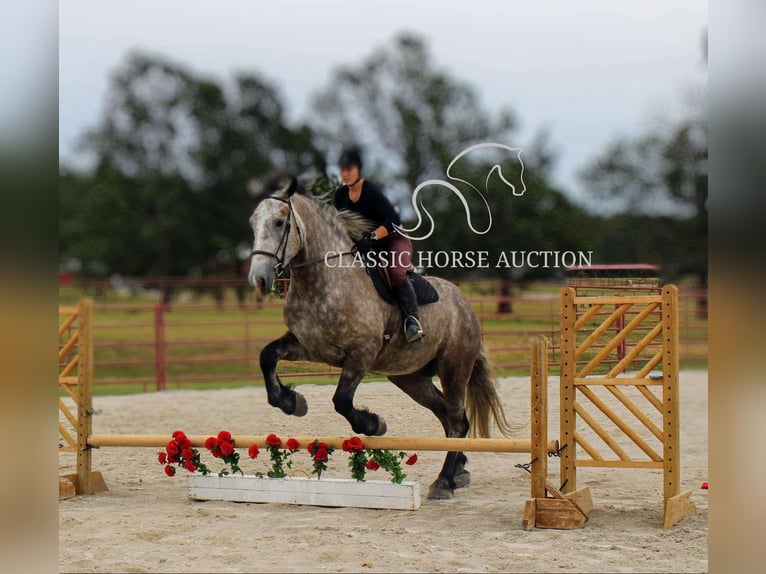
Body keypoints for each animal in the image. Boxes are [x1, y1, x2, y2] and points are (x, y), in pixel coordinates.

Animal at [250, 177, 516, 500]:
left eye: (279, 223)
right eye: (253, 223)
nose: (259, 280)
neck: (323, 281)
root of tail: (466, 305)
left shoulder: (362, 353)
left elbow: (342, 400)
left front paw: (374, 424)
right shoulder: (308, 346)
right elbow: (267, 356)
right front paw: (292, 402)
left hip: (454, 368)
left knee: (455, 420)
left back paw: (443, 482)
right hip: (411, 378)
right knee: (451, 417)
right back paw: (458, 473)